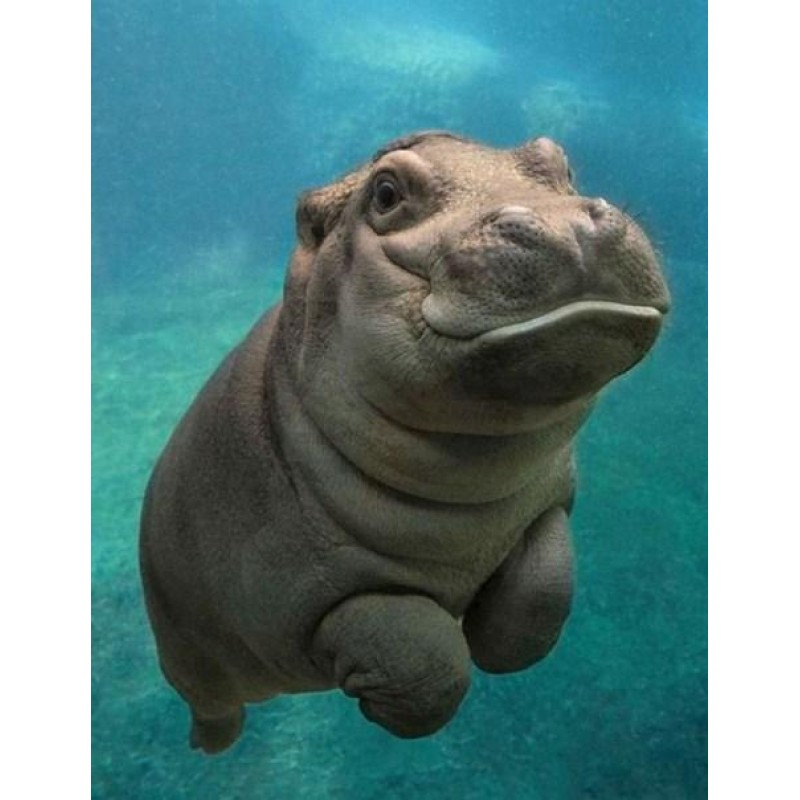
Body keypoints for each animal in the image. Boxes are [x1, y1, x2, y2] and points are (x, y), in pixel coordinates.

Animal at [139, 131, 669, 754]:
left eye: (559, 161)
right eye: (386, 193)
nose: (568, 225)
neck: (470, 483)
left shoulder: (546, 504)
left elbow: (544, 589)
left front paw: (497, 645)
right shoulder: (305, 595)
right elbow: (425, 663)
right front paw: (387, 703)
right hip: (189, 656)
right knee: (213, 703)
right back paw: (209, 745)